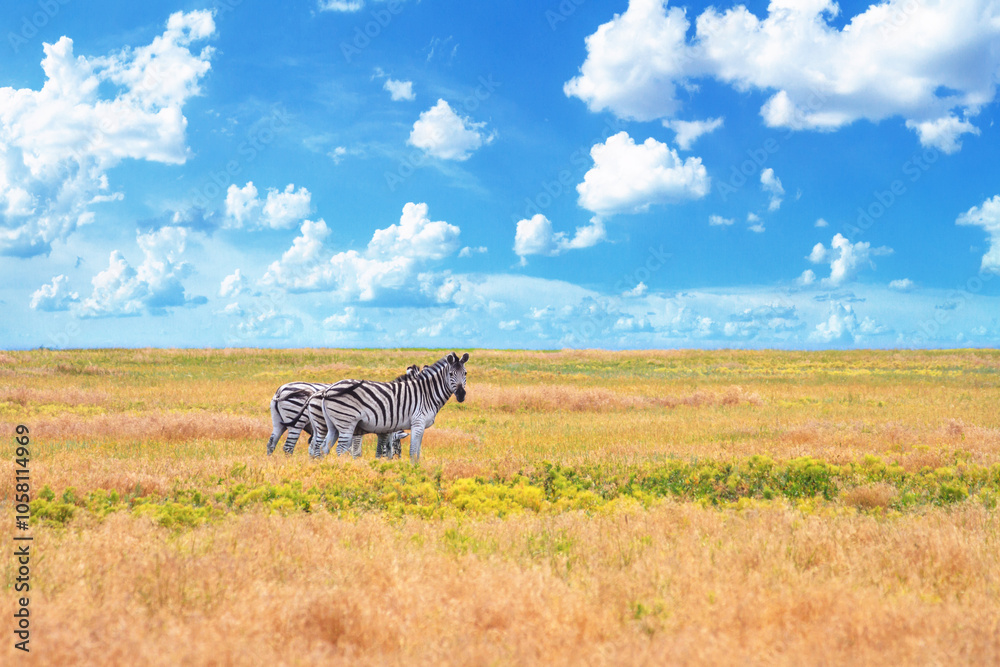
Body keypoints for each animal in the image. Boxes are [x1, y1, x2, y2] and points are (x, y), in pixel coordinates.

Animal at [264, 362, 416, 456]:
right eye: (399, 444)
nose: (399, 458)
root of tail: (280, 391)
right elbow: (357, 450)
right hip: (296, 420)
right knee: (288, 447)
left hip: (278, 422)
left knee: (271, 443)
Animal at [316, 352, 468, 468]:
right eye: (451, 373)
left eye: (465, 373)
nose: (461, 394)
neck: (427, 393)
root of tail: (328, 389)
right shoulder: (417, 423)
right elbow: (412, 452)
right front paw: (413, 471)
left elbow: (413, 451)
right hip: (346, 422)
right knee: (340, 449)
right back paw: (342, 468)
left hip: (333, 425)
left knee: (324, 447)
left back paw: (325, 468)